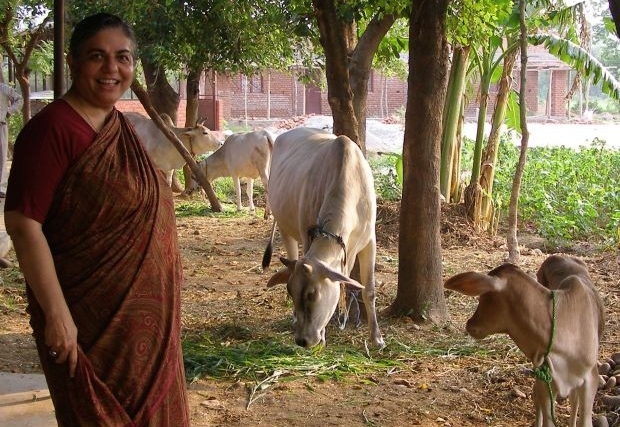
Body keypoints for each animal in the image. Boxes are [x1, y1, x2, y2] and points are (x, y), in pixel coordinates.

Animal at [264, 127, 386, 352]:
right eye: (290, 291)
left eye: (312, 294)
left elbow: (369, 290)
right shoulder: (307, 235)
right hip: (285, 228)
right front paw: (322, 337)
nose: (302, 340)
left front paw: (377, 338)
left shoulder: (370, 241)